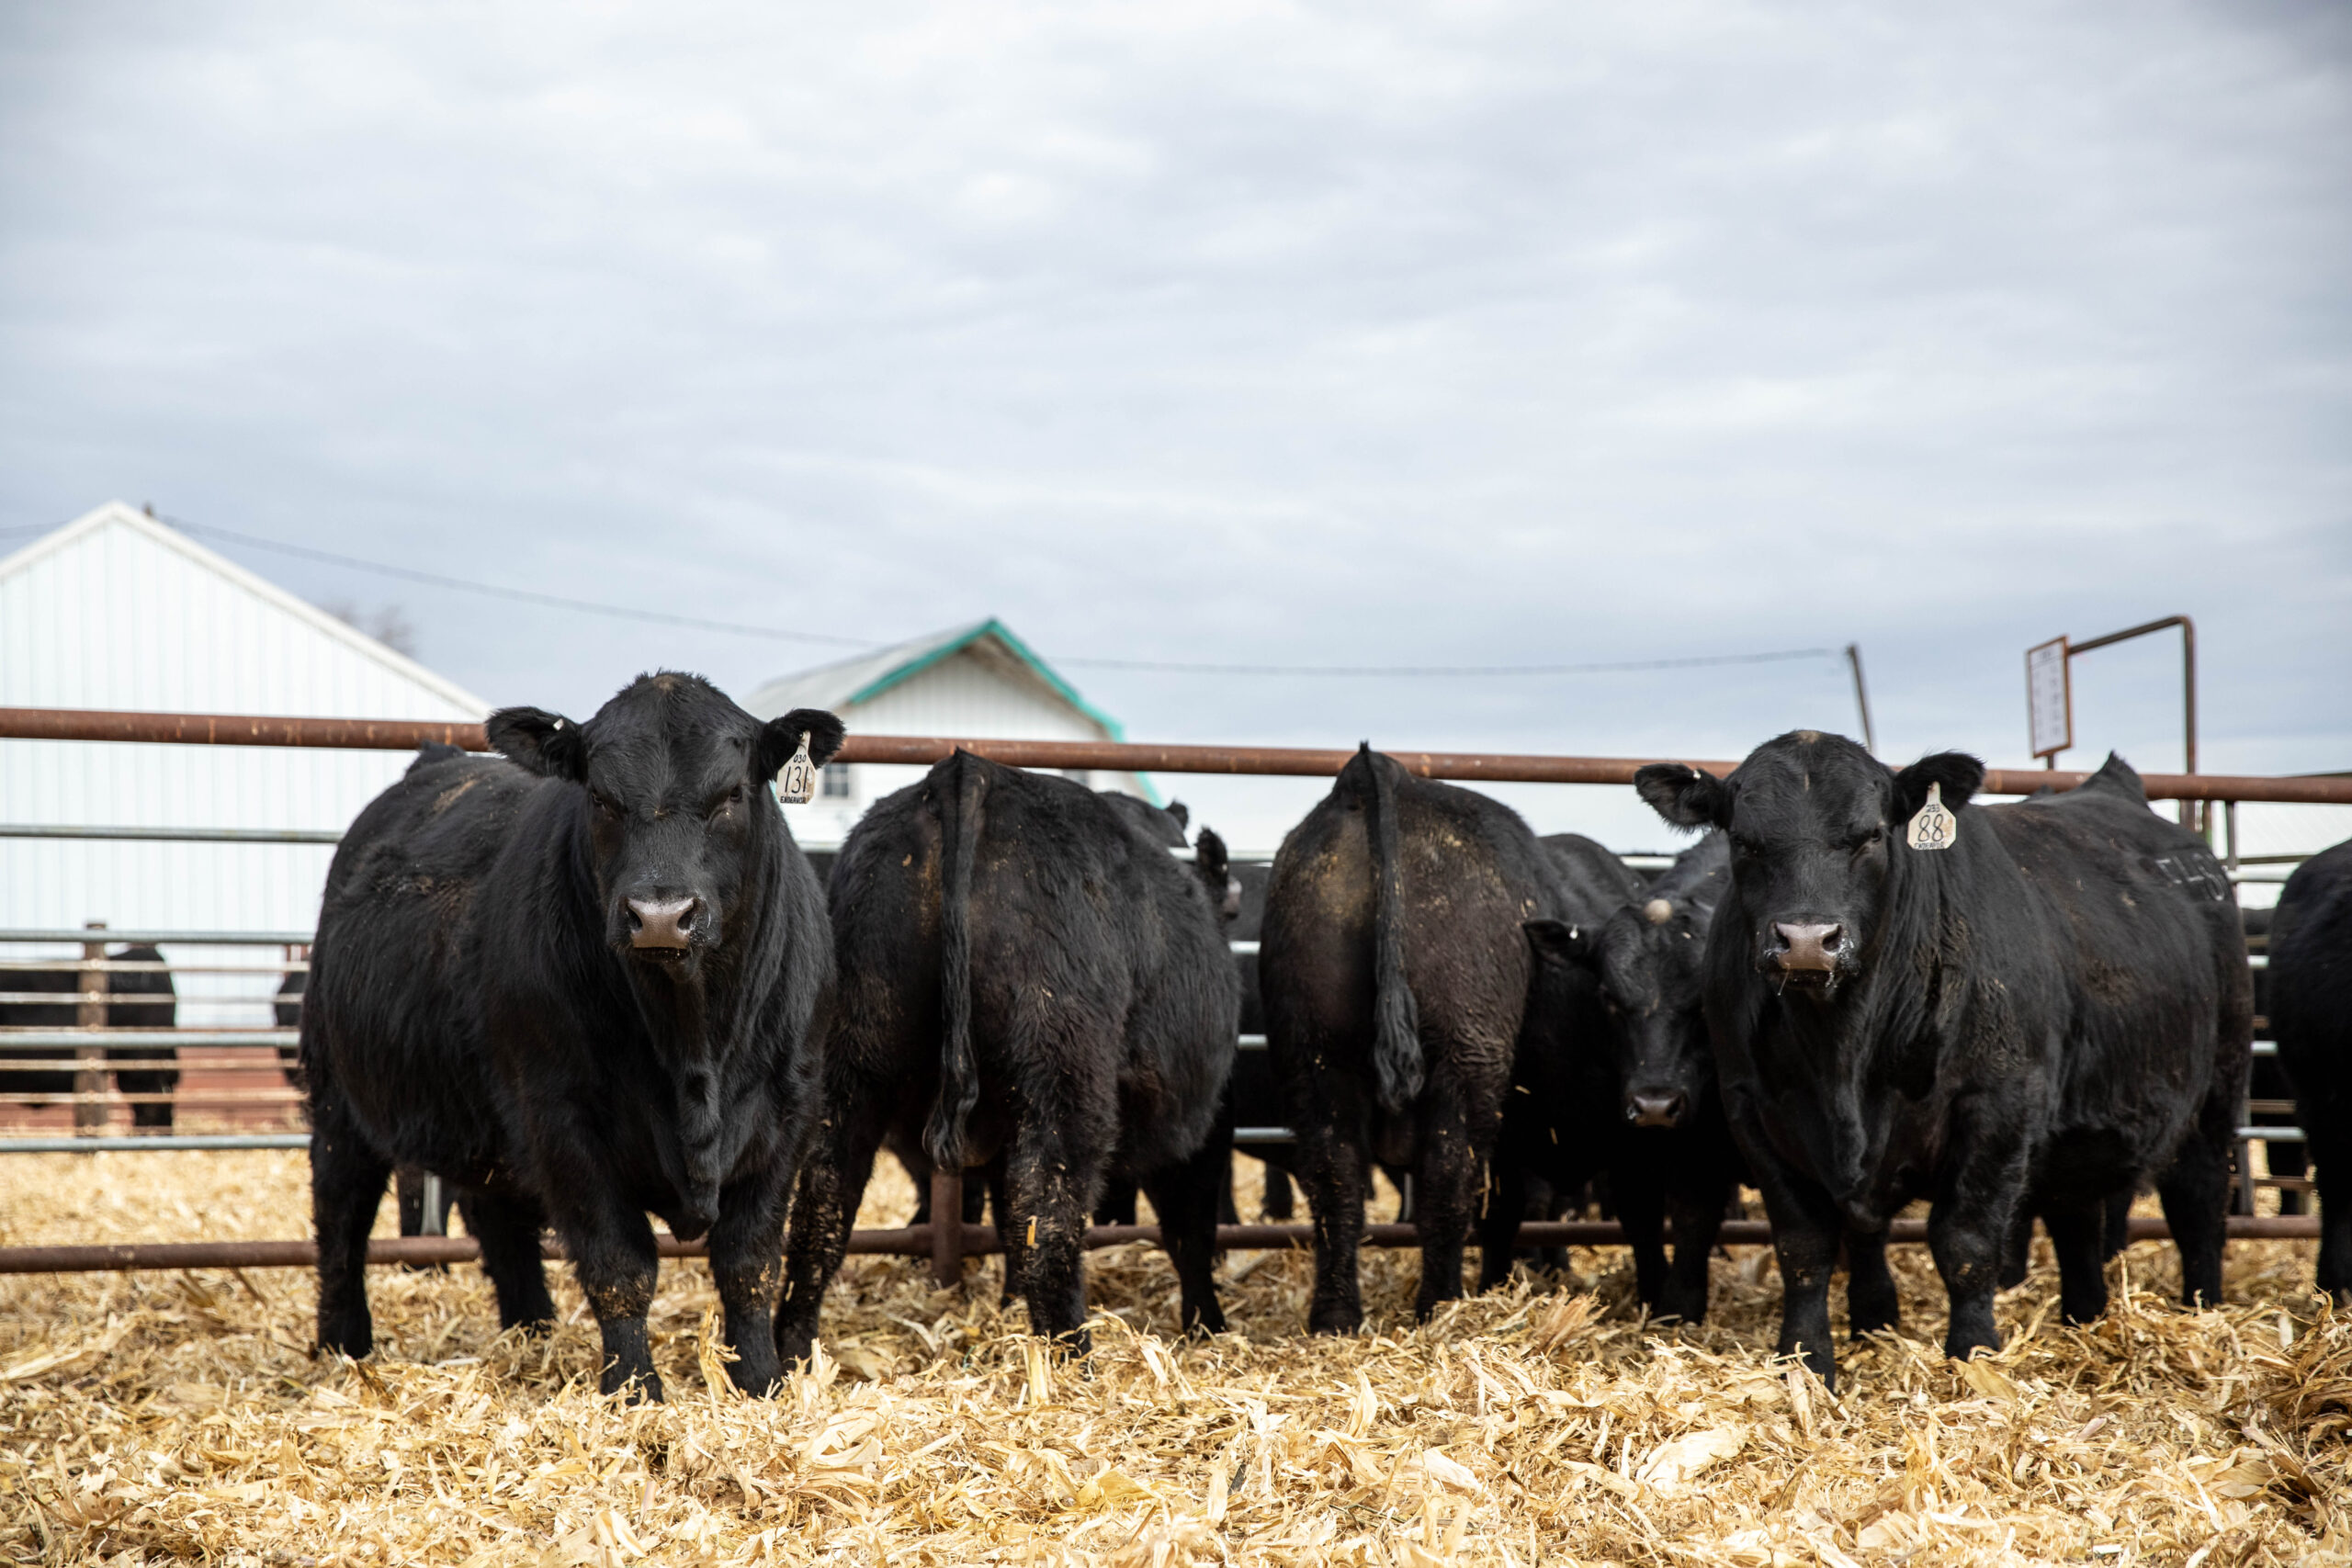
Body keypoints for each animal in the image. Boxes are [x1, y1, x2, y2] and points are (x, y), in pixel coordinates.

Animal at [302, 674, 843, 1399]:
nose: (661, 915)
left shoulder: (790, 1113)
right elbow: (619, 1266)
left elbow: (749, 1262)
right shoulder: (561, 1118)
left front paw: (760, 1382)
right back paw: (343, 1346)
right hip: (341, 1098)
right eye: (600, 797)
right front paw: (636, 1391)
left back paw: (531, 1331)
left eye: (732, 794)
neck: (693, 1045)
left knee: (499, 1222)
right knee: (341, 1214)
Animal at [776, 751, 1240, 1360]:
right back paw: (1070, 1360)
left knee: (822, 1205)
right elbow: (1191, 1231)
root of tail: (964, 771)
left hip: (852, 1060)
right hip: (1062, 1075)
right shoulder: (1200, 1123)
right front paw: (1207, 1324)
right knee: (1048, 1218)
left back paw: (791, 1358)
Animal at [1260, 744, 1575, 1330]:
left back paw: (1335, 1317)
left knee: (1335, 1178)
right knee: (1449, 1173)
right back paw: (1442, 1306)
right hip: (1467, 1052)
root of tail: (1379, 772)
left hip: (1314, 1053)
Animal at [1511, 831, 1747, 1322]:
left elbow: (1694, 1219)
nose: (1655, 1105)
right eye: (1608, 997)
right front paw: (1657, 1300)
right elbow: (1644, 1222)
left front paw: (1682, 1308)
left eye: (1702, 1002)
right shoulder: (1635, 1152)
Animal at [1637, 735, 2250, 1389]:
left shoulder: (1999, 1103)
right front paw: (1805, 1362)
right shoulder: (1752, 1110)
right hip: (2080, 1137)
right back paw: (2084, 1322)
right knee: (2076, 1218)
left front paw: (1974, 1358)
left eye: (1871, 835)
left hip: (2215, 1094)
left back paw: (2202, 1312)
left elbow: (1966, 1243)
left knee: (2197, 1204)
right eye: (1744, 841)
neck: (1843, 1049)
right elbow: (1804, 1246)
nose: (1806, 941)